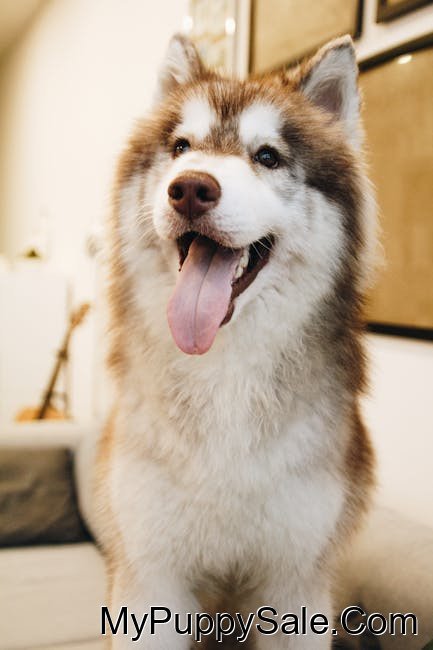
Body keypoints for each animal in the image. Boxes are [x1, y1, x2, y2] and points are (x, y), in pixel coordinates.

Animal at [95, 34, 377, 649]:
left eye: (267, 157)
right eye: (181, 147)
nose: (190, 189)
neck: (223, 372)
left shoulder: (295, 581)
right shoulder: (151, 575)